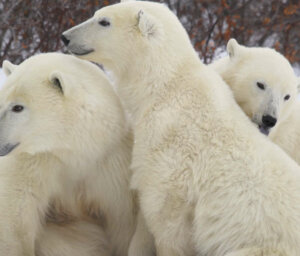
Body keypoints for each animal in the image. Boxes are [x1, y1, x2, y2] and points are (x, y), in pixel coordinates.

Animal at [0, 52, 136, 256]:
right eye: (1, 101)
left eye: (18, 107)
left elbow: (124, 222)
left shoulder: (113, 166)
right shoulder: (33, 162)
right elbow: (16, 218)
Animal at [61, 1, 300, 255]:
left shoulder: (169, 149)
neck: (165, 87)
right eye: (96, 14)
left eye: (104, 21)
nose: (65, 37)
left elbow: (164, 216)